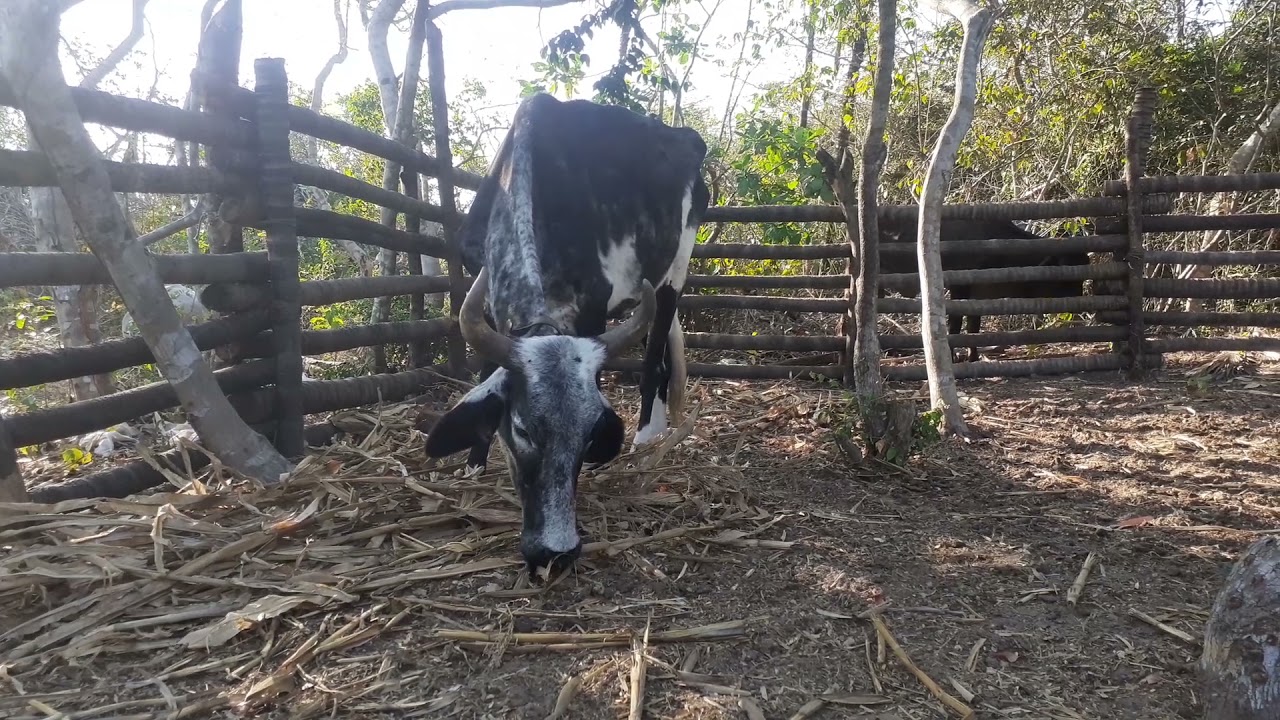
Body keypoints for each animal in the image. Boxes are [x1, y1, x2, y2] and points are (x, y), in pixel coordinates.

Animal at [422, 92, 710, 573]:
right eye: (521, 429)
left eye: (590, 432)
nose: (555, 552)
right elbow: (486, 375)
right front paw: (474, 462)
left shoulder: (593, 309)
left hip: (675, 271)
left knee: (655, 355)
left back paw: (647, 434)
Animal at [877, 217, 1092, 362]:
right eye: (1065, 275)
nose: (1079, 300)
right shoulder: (960, 289)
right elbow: (955, 325)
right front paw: (954, 357)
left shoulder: (977, 296)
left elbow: (973, 326)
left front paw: (973, 356)